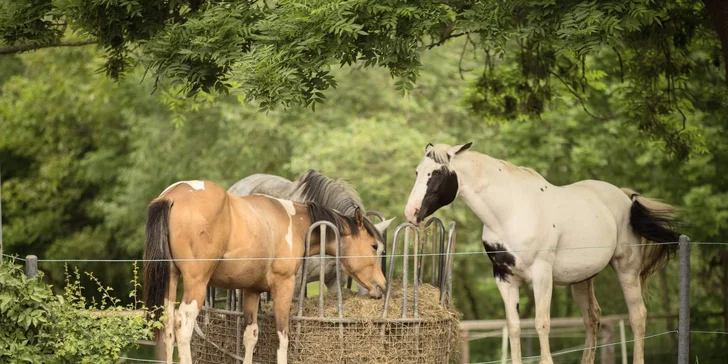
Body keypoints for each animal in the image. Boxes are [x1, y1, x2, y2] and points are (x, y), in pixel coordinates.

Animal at [141, 180, 386, 364]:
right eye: (374, 246)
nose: (382, 286)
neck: (294, 223)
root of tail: (172, 196)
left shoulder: (251, 290)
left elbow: (250, 336)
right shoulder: (285, 286)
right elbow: (283, 337)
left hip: (171, 280)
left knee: (168, 327)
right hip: (196, 283)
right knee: (183, 326)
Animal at [404, 142, 684, 364]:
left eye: (436, 172)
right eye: (416, 171)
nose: (411, 213)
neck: (511, 212)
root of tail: (625, 197)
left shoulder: (541, 275)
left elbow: (542, 323)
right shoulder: (504, 277)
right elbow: (514, 327)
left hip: (627, 268)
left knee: (638, 317)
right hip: (582, 279)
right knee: (592, 319)